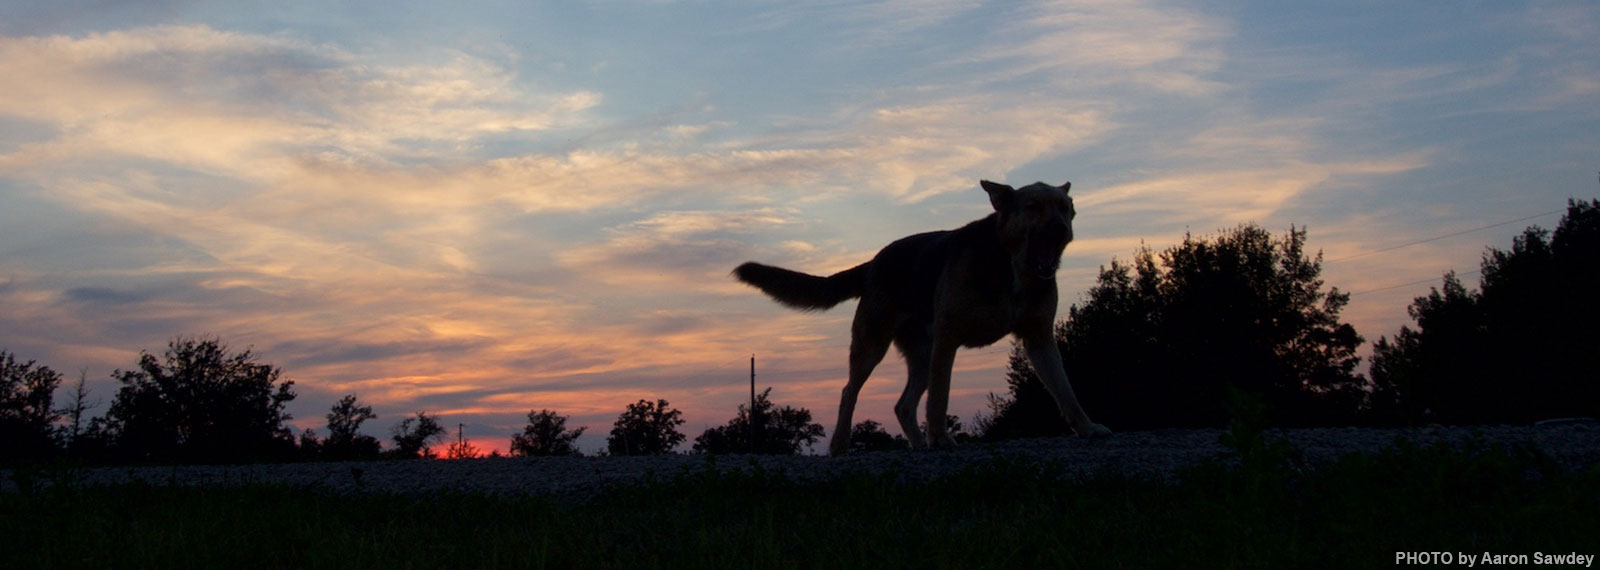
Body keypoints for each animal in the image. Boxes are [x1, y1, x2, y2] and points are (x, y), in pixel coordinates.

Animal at [736, 180, 1113, 457]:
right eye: (1034, 207)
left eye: (1066, 209)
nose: (1060, 229)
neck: (1011, 267)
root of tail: (874, 262)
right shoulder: (948, 339)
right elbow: (940, 398)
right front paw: (941, 439)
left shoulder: (1039, 340)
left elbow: (1066, 391)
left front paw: (1088, 428)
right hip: (873, 346)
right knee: (849, 392)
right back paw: (841, 445)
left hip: (920, 356)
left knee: (902, 405)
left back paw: (918, 446)